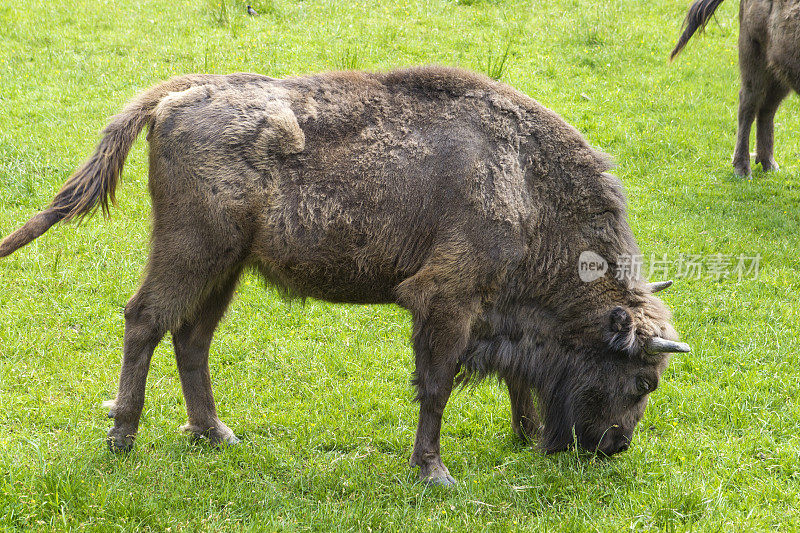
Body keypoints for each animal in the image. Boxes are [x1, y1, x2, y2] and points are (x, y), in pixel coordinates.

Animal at [0, 64, 688, 484]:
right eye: (643, 380)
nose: (614, 447)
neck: (524, 184)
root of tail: (183, 93)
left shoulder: (491, 312)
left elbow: (514, 378)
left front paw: (523, 434)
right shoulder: (445, 302)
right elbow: (436, 385)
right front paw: (434, 472)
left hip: (227, 267)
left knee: (191, 338)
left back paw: (216, 434)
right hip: (191, 251)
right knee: (144, 320)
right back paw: (123, 437)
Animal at [668, 0, 800, 179]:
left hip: (778, 72)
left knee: (766, 109)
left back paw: (769, 165)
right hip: (754, 59)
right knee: (748, 106)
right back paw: (743, 169)